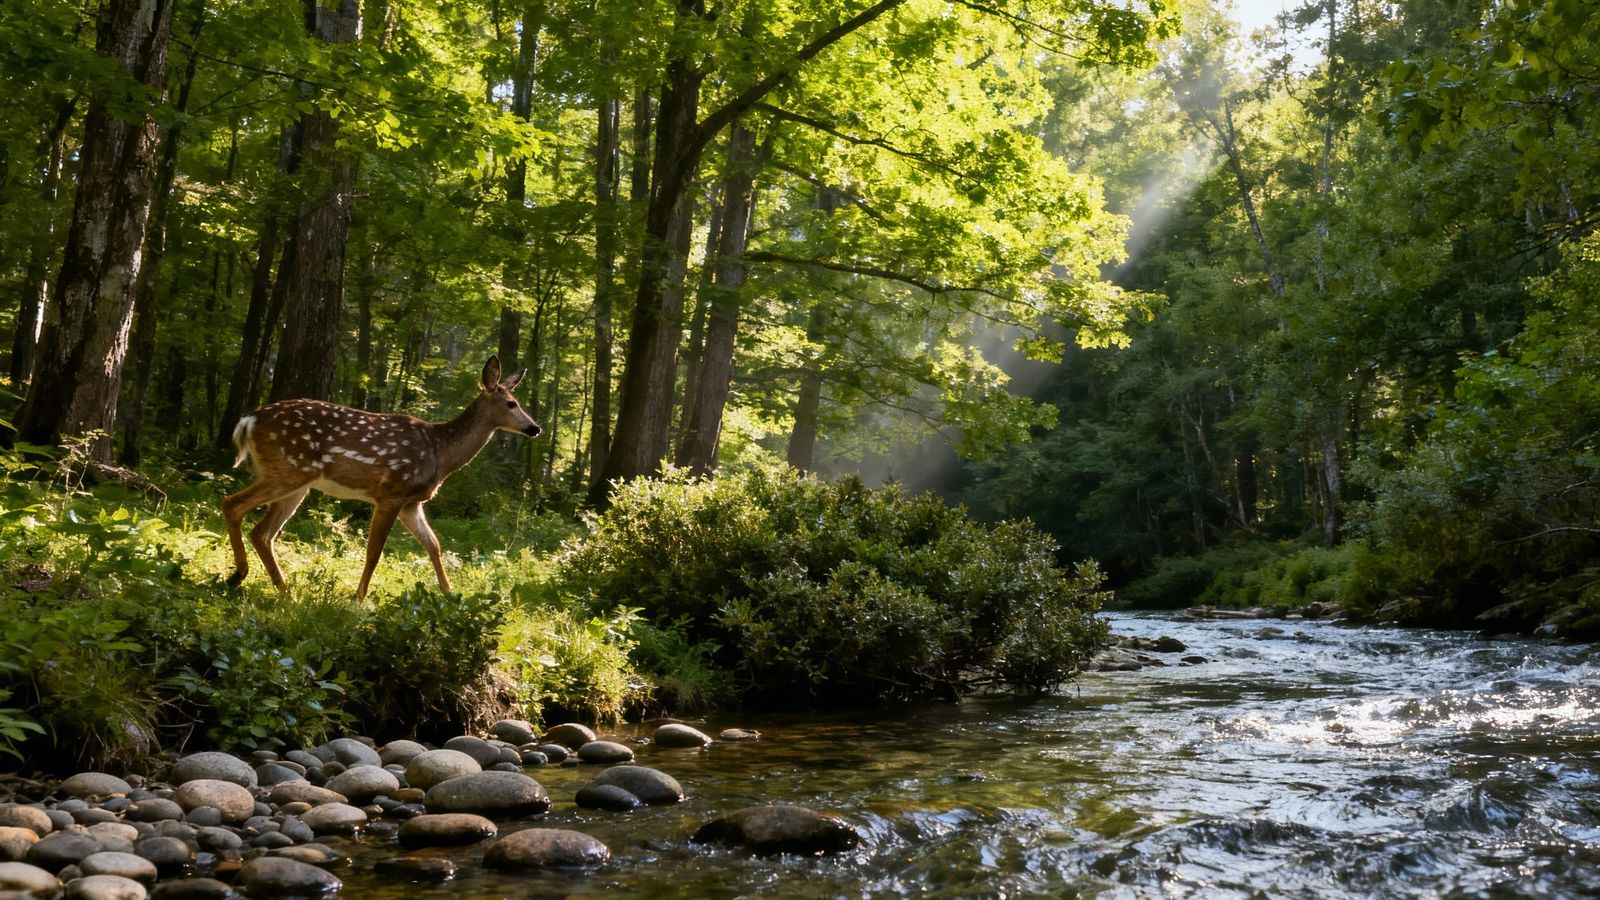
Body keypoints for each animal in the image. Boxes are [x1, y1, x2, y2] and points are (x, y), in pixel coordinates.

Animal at [224, 356, 541, 600]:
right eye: (511, 403)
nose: (535, 428)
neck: (440, 452)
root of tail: (248, 420)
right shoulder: (391, 492)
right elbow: (374, 552)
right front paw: (358, 598)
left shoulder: (412, 503)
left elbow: (434, 545)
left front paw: (450, 594)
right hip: (288, 469)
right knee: (233, 504)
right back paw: (240, 574)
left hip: (296, 482)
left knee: (262, 532)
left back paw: (283, 589)